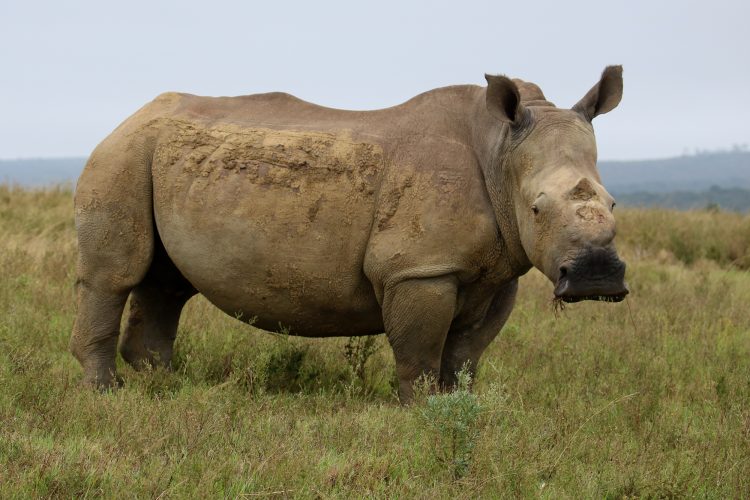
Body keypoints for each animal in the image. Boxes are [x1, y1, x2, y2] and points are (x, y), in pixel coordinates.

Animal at [71, 66, 628, 402]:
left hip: (152, 158)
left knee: (166, 284)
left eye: (613, 204)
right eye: (537, 209)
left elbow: (466, 355)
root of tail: (129, 118)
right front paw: (423, 415)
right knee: (113, 277)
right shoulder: (418, 269)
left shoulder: (499, 271)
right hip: (122, 155)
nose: (597, 278)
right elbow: (421, 355)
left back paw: (165, 388)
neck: (500, 152)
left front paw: (460, 406)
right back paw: (107, 396)